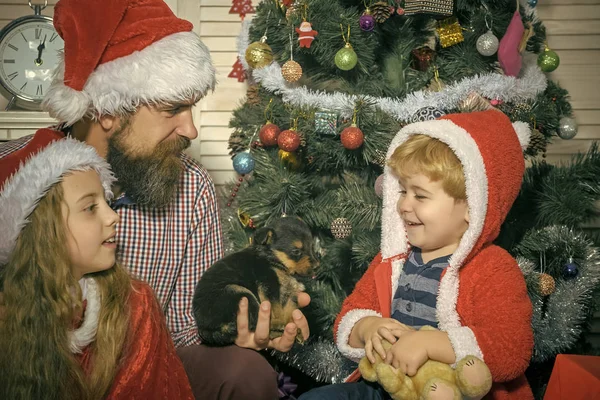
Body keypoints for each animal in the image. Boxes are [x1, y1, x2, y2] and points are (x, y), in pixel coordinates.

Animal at [196, 217, 318, 346]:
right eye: (296, 251)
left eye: (312, 247)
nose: (317, 267)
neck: (274, 260)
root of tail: (204, 327)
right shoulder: (269, 285)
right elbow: (275, 308)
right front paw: (279, 322)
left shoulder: (289, 295)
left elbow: (288, 311)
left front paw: (295, 329)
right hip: (239, 292)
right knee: (256, 323)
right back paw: (276, 328)